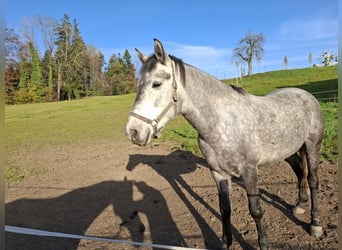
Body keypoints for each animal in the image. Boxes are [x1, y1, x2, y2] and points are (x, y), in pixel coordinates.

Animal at [125, 38, 324, 249]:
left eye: (156, 84)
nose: (133, 131)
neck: (222, 122)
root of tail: (305, 95)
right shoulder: (219, 173)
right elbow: (225, 210)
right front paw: (226, 243)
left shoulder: (249, 172)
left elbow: (256, 210)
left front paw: (263, 244)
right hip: (287, 150)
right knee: (299, 171)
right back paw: (300, 205)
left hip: (313, 145)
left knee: (312, 179)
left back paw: (315, 224)